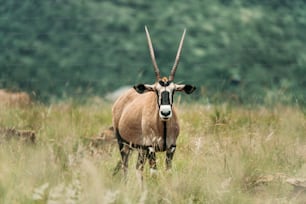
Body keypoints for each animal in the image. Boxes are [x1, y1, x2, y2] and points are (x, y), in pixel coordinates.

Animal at [112, 25, 196, 178]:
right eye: (156, 90)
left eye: (174, 90)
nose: (165, 112)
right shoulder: (151, 148)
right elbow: (154, 173)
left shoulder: (171, 149)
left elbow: (168, 172)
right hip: (123, 145)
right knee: (125, 168)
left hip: (140, 150)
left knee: (138, 168)